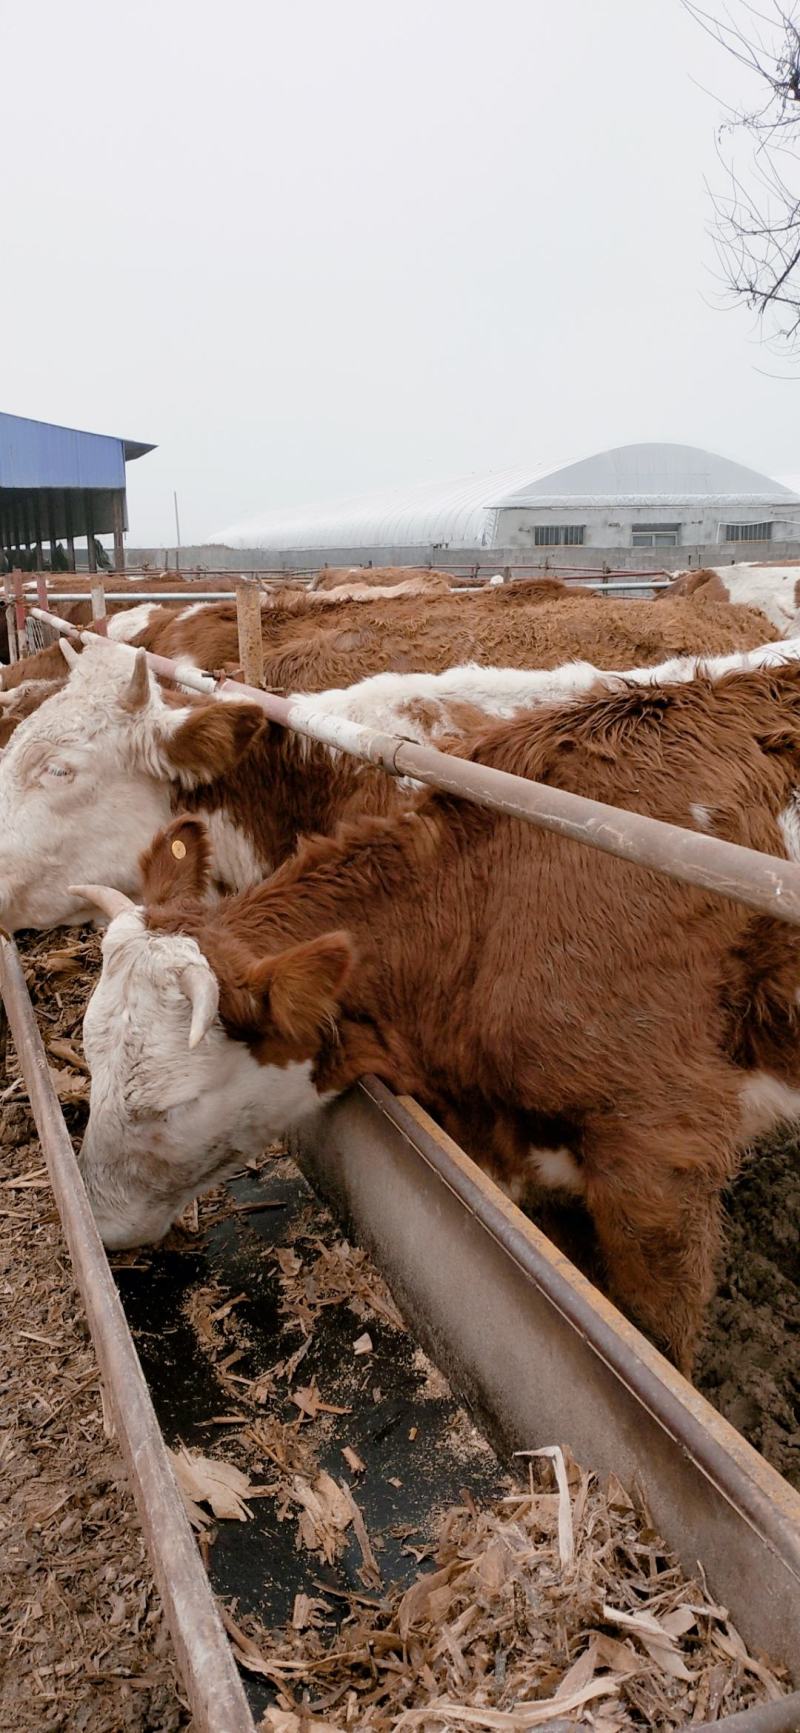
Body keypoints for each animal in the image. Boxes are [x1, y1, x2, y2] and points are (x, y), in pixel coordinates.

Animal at [73, 658, 800, 1365]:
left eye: (174, 1105)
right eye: (89, 1056)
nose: (97, 1220)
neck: (489, 907)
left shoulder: (662, 1154)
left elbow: (659, 1338)